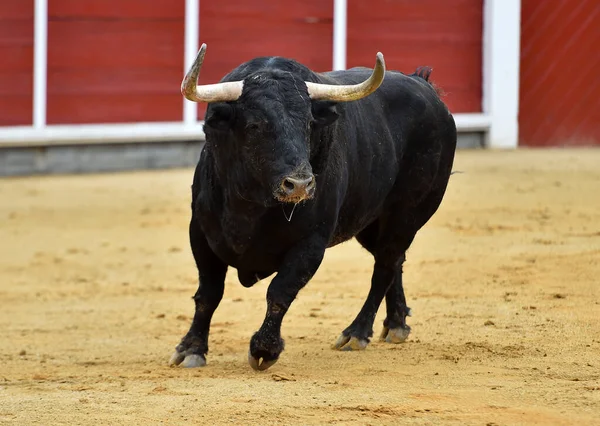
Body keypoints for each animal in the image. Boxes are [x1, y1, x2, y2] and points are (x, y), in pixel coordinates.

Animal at [169, 44, 454, 370]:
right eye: (254, 125)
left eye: (307, 124)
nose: (301, 184)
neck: (252, 204)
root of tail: (425, 87)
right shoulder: (201, 233)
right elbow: (209, 293)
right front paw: (191, 348)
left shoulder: (312, 241)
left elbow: (280, 291)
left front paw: (264, 350)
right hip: (371, 223)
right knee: (395, 260)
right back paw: (396, 324)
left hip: (407, 214)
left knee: (384, 265)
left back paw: (357, 332)